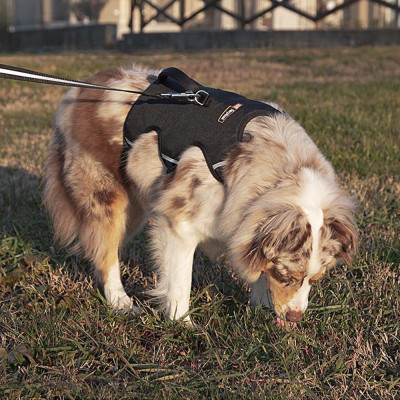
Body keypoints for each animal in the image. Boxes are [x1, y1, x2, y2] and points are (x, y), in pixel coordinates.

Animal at [43, 65, 356, 326]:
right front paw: (183, 325)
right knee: (104, 250)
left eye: (316, 279)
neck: (276, 175)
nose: (294, 318)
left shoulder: (243, 219)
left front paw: (261, 309)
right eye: (286, 275)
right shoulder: (179, 222)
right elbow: (180, 281)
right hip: (108, 196)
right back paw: (121, 302)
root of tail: (78, 90)